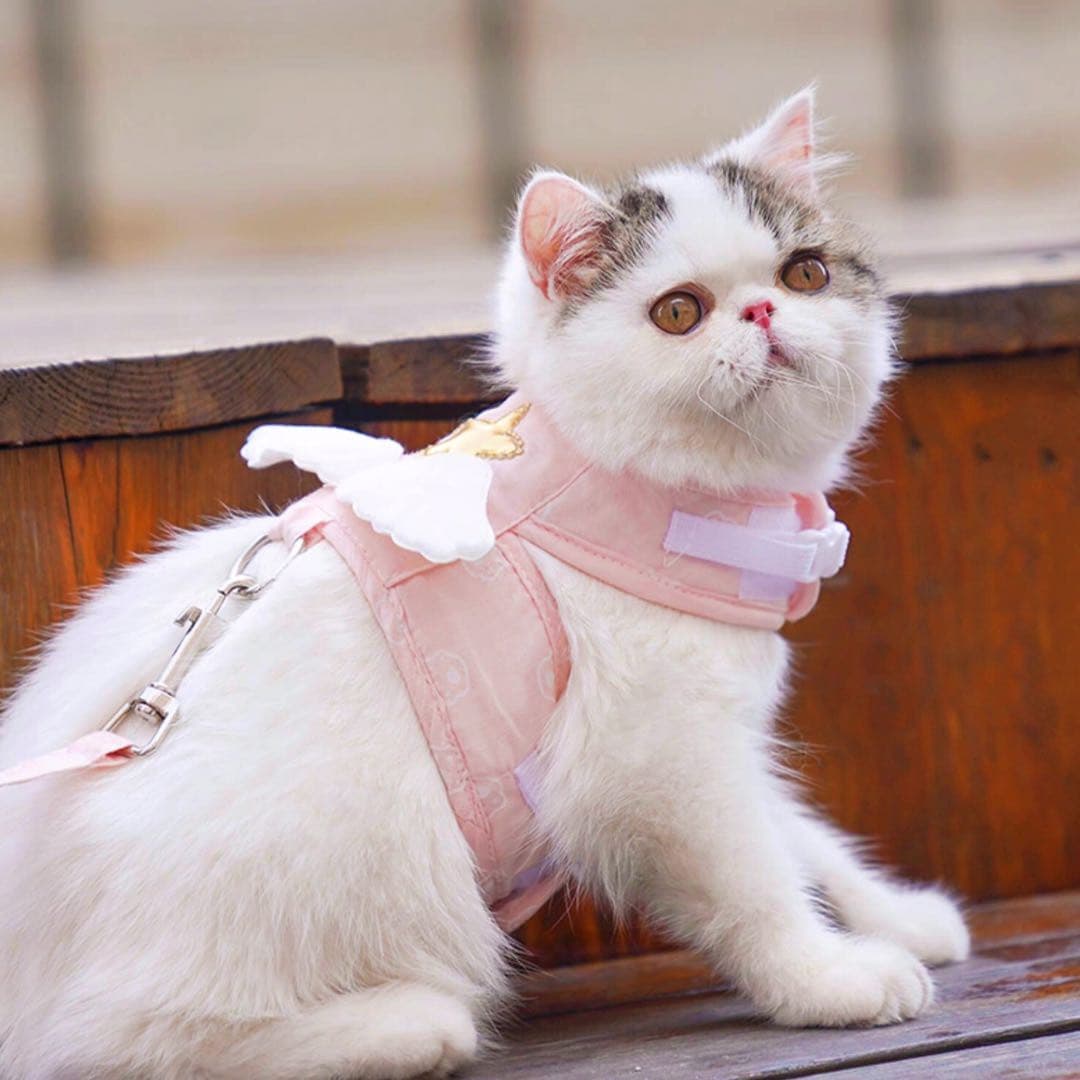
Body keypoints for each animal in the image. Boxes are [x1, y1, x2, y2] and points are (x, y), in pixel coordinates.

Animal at [0, 90, 967, 1080]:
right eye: (679, 312)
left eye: (806, 273)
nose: (767, 312)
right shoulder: (656, 757)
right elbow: (751, 880)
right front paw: (828, 978)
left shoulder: (712, 732)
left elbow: (795, 829)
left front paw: (894, 916)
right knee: (122, 1040)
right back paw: (404, 1025)